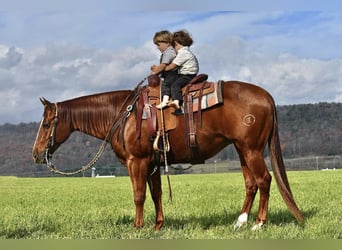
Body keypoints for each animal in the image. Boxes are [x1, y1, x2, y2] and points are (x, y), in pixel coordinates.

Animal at [32, 78, 304, 230]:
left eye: (46, 124)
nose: (36, 154)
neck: (122, 115)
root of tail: (266, 96)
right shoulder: (152, 163)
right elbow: (156, 194)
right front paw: (158, 225)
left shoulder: (137, 161)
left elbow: (139, 195)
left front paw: (138, 226)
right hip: (242, 150)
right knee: (251, 184)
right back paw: (241, 221)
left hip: (252, 150)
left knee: (264, 180)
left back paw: (259, 223)